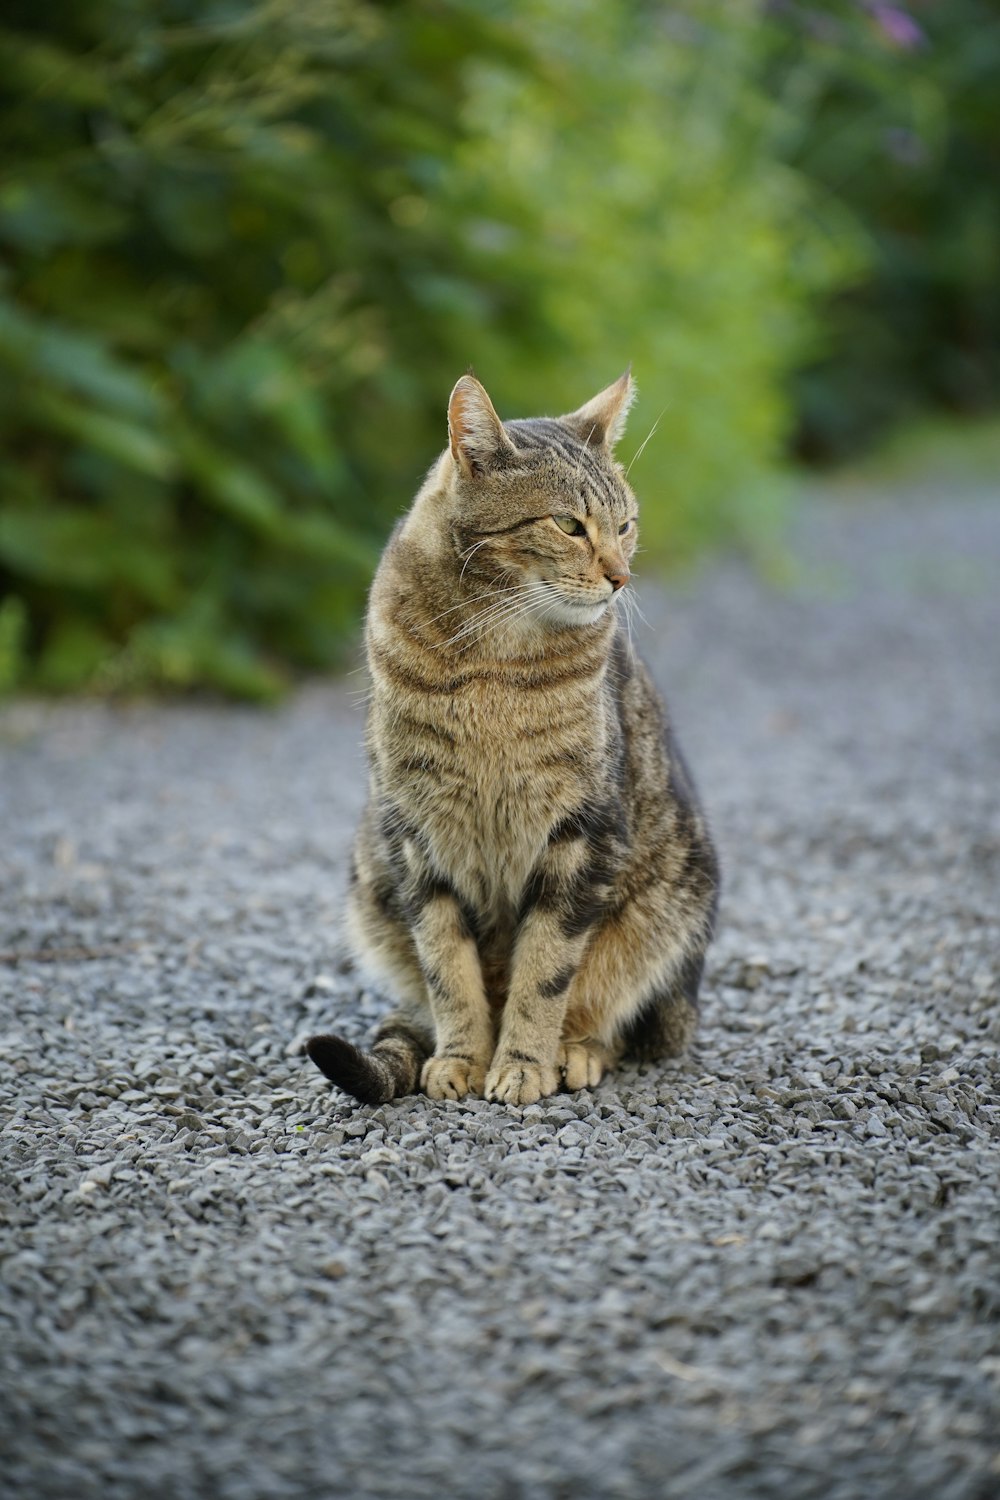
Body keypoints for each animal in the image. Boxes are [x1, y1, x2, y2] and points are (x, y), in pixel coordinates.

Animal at [307, 370, 719, 1110]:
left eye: (625, 524)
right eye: (568, 524)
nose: (621, 576)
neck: (491, 661)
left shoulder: (581, 832)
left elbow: (545, 971)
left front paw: (523, 1064)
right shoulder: (416, 836)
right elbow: (448, 971)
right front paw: (461, 1059)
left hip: (671, 916)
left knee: (613, 1015)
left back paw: (576, 1053)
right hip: (370, 879)